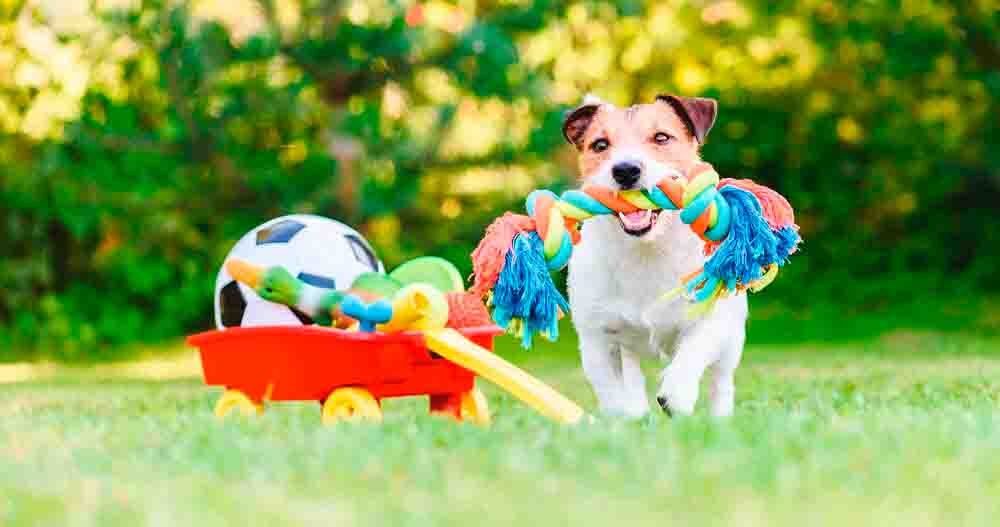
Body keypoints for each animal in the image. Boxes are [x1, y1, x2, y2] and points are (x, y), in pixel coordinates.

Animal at [564, 94, 752, 416]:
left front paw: (677, 393)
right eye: (600, 144)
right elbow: (612, 393)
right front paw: (622, 420)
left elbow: (693, 351)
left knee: (721, 381)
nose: (625, 170)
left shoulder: (711, 320)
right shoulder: (597, 340)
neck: (647, 251)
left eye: (661, 137)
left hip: (732, 342)